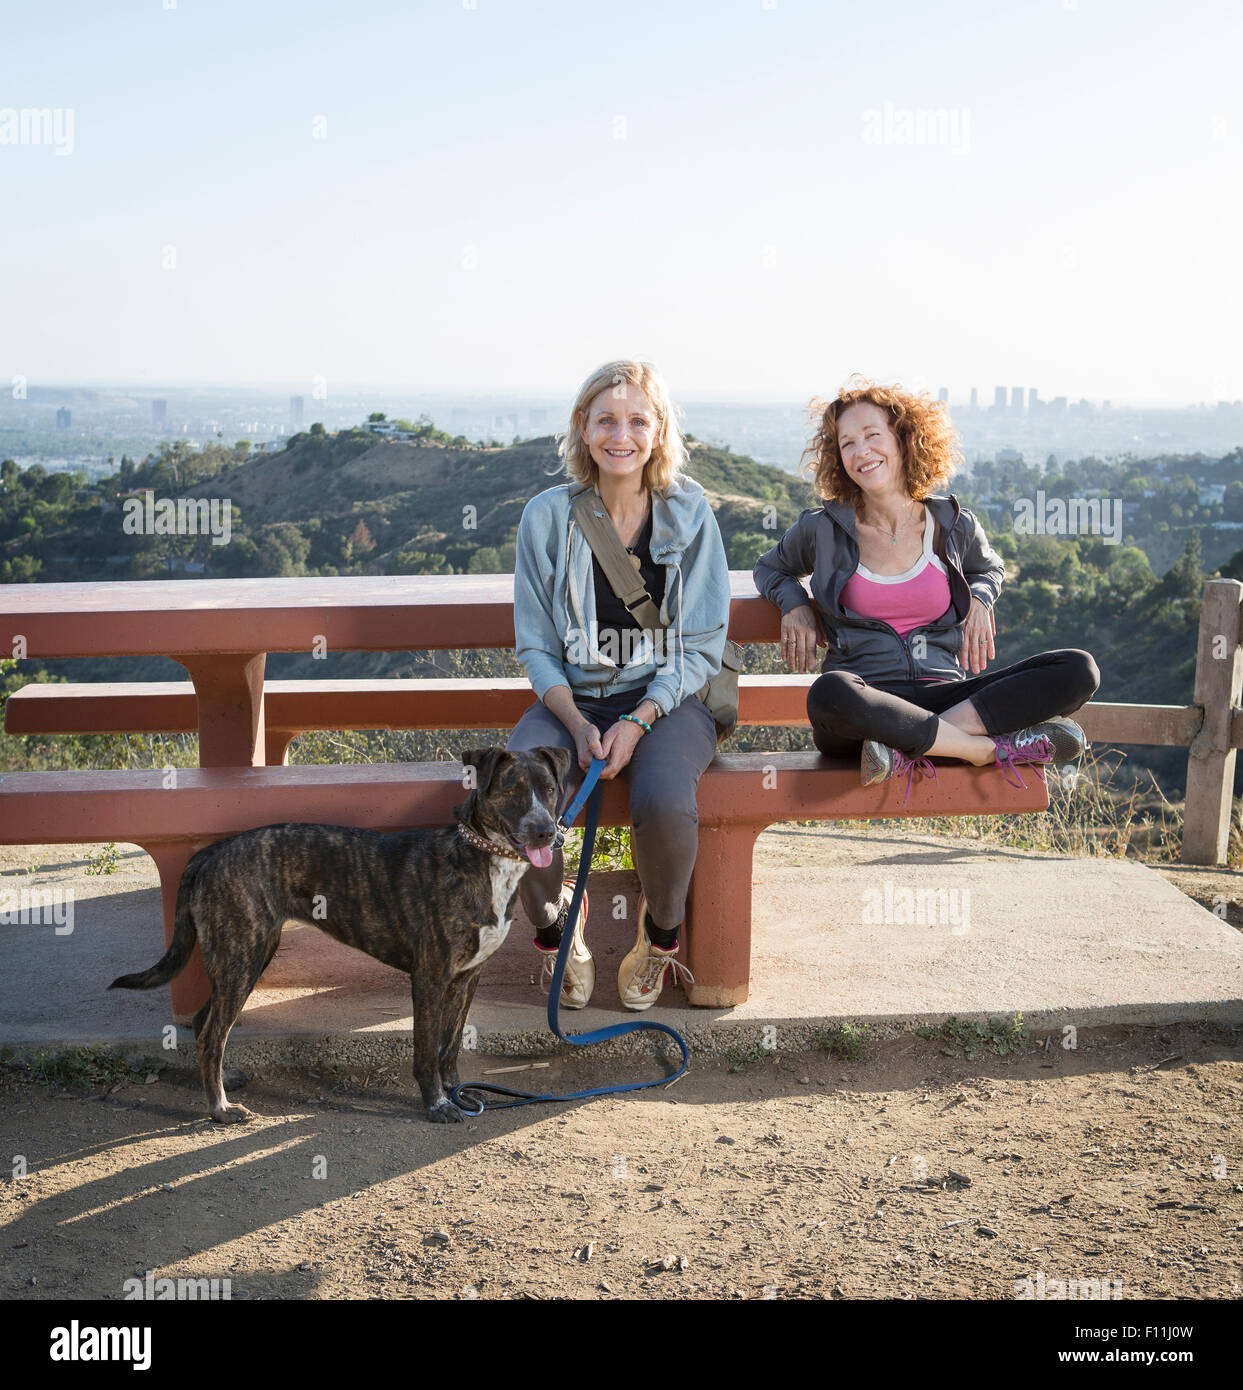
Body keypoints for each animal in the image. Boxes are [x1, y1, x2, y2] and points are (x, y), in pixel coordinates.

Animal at [109, 745, 572, 1123]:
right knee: (210, 1034)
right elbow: (426, 1049)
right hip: (242, 956)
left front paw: (457, 1092)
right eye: (512, 790)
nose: (546, 831)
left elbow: (450, 1046)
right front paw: (437, 1104)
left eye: (550, 789)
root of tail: (209, 853)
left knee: (205, 1022)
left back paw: (224, 1080)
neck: (483, 859)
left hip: (248, 955)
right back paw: (219, 1109)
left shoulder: (468, 977)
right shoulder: (430, 977)